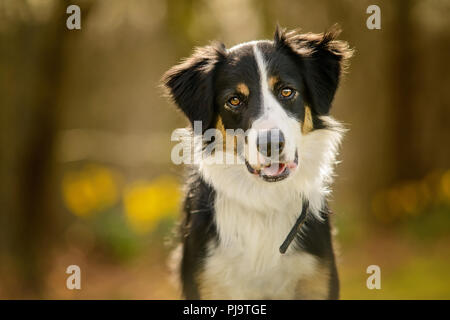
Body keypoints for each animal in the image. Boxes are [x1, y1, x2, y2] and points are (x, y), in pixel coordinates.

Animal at [163, 25, 354, 300]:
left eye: (287, 91)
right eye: (234, 100)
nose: (271, 144)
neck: (264, 200)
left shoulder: (317, 280)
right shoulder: (206, 281)